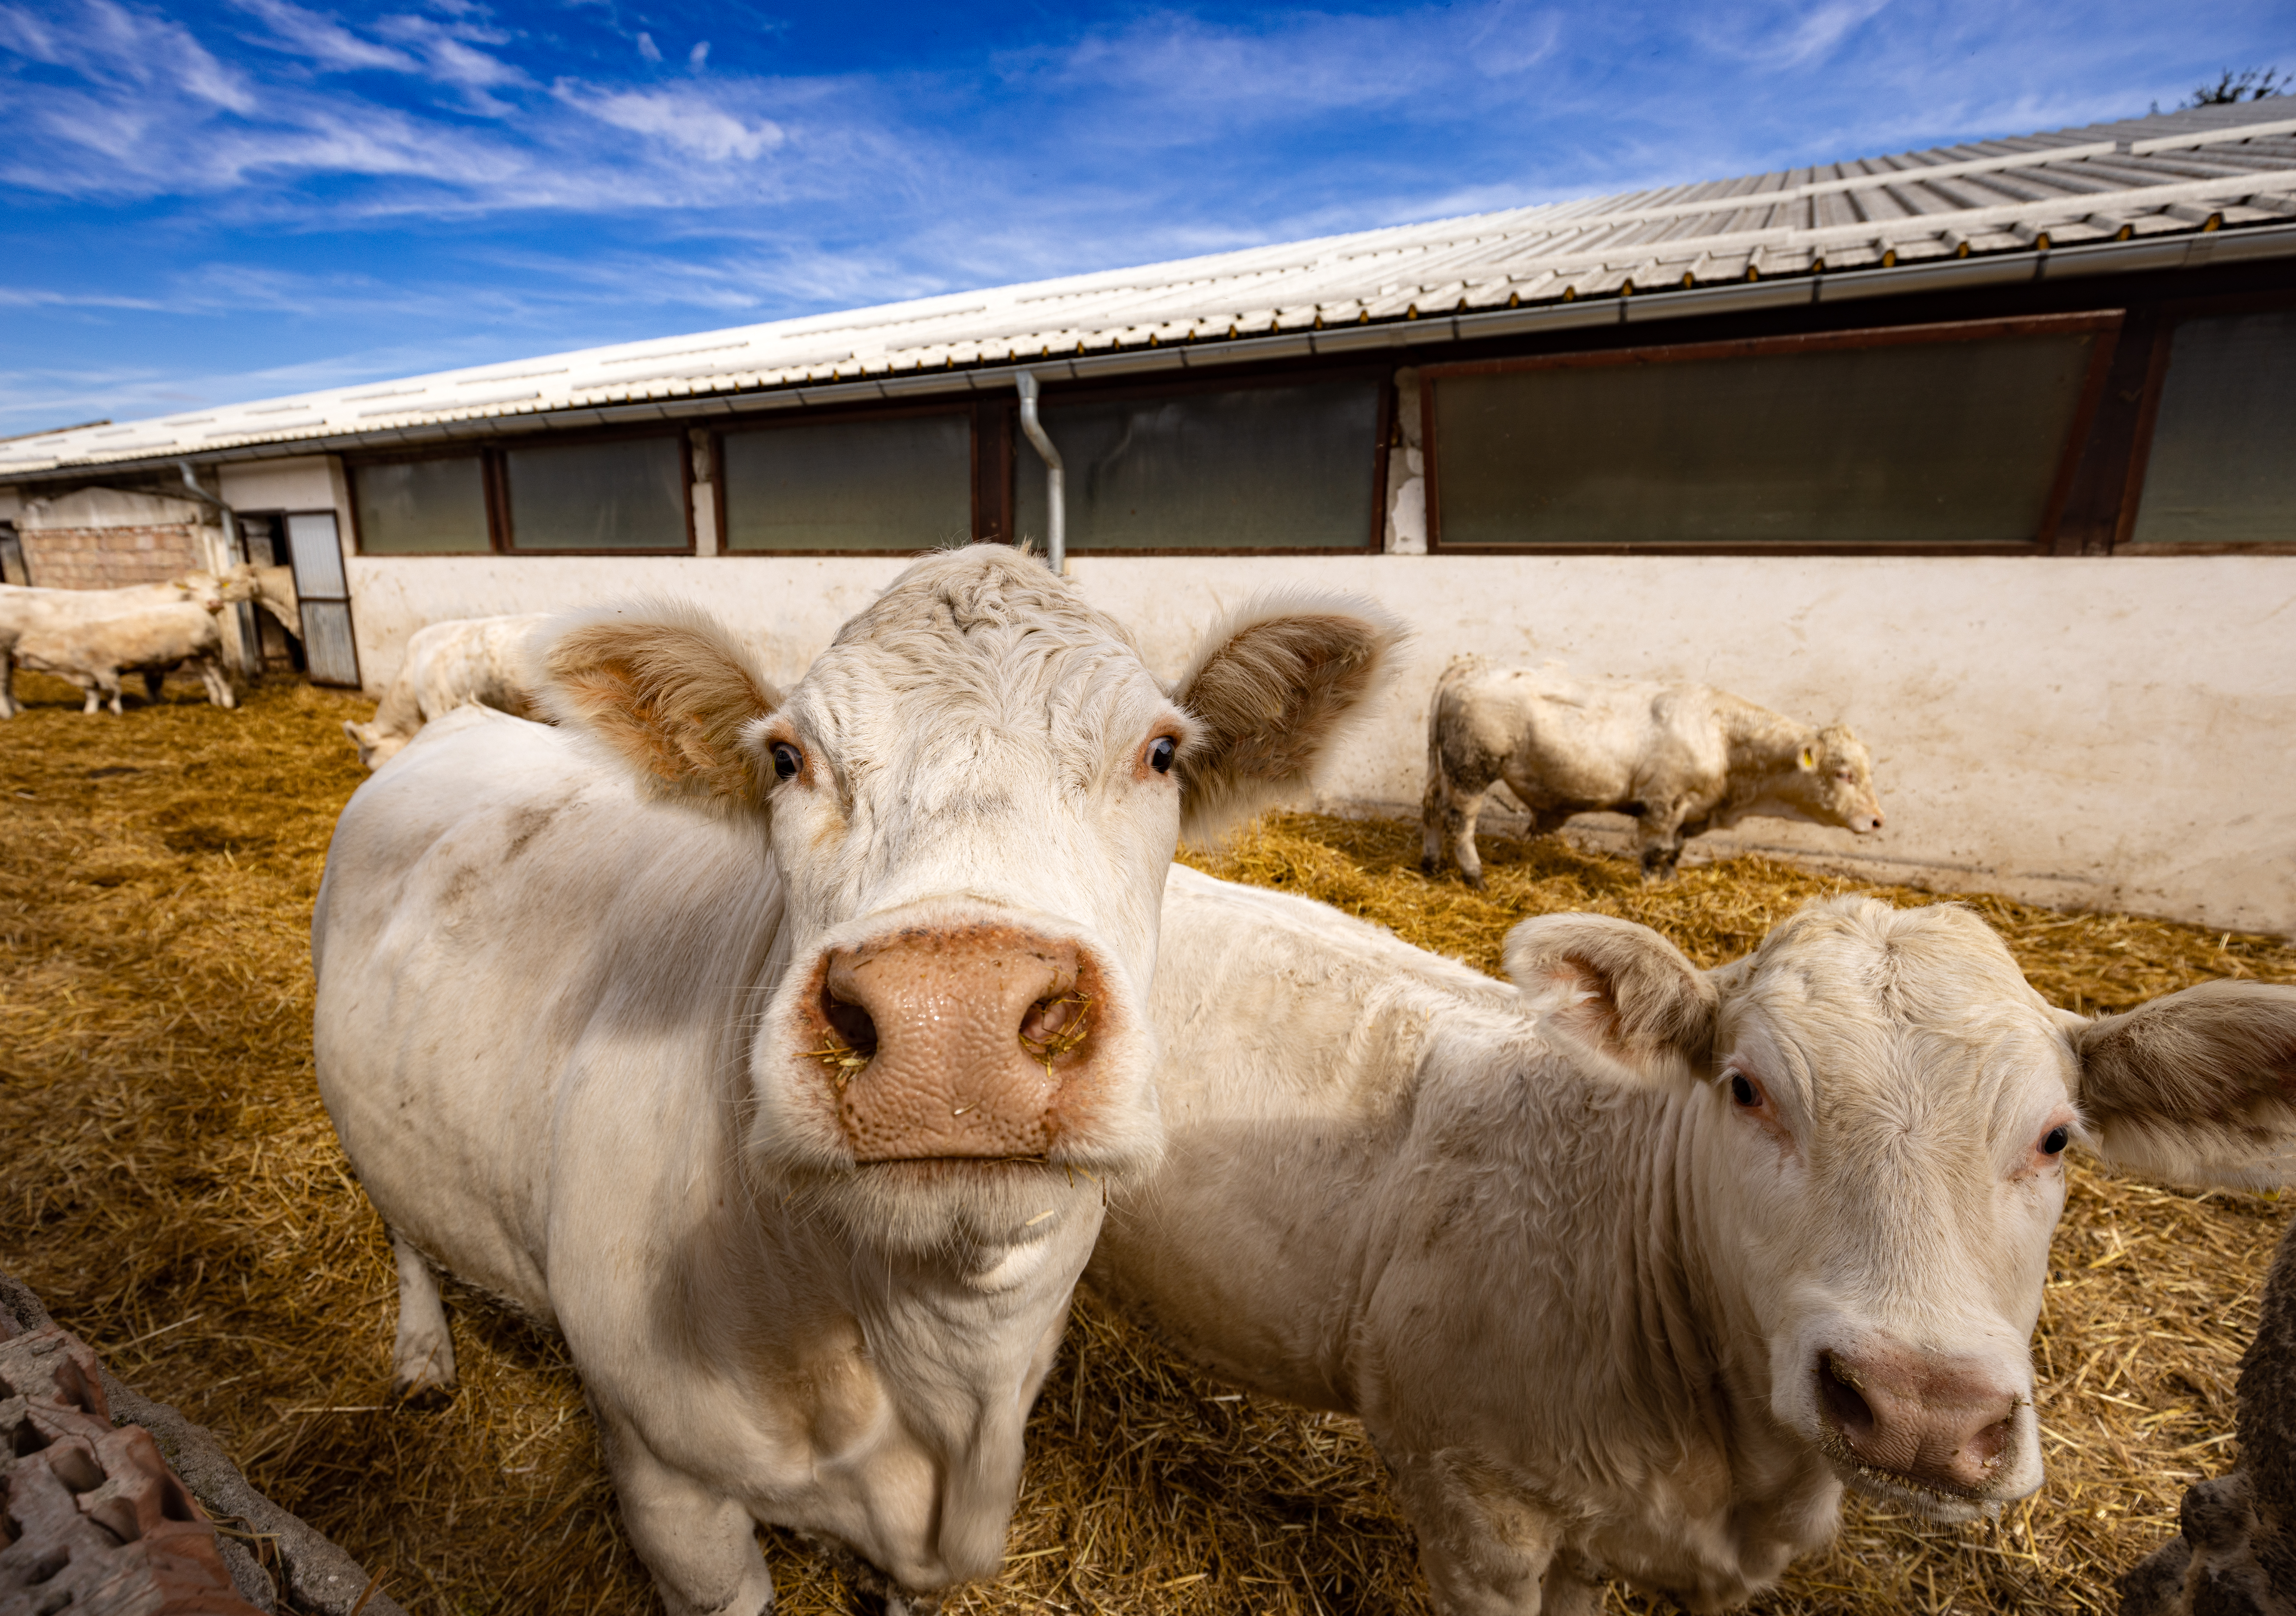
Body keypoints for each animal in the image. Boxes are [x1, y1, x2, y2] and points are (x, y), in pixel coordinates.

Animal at [1414, 652, 1883, 881]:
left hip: (1447, 769)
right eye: (1844, 773)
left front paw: (1671, 881)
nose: (1878, 821)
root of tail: (1469, 665)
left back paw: (1431, 864)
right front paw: (1650, 886)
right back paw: (1473, 874)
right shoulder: (1662, 804)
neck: (1722, 737)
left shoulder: (1691, 811)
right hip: (1471, 769)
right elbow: (1655, 849)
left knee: (1432, 808)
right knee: (1460, 821)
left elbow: (1675, 850)